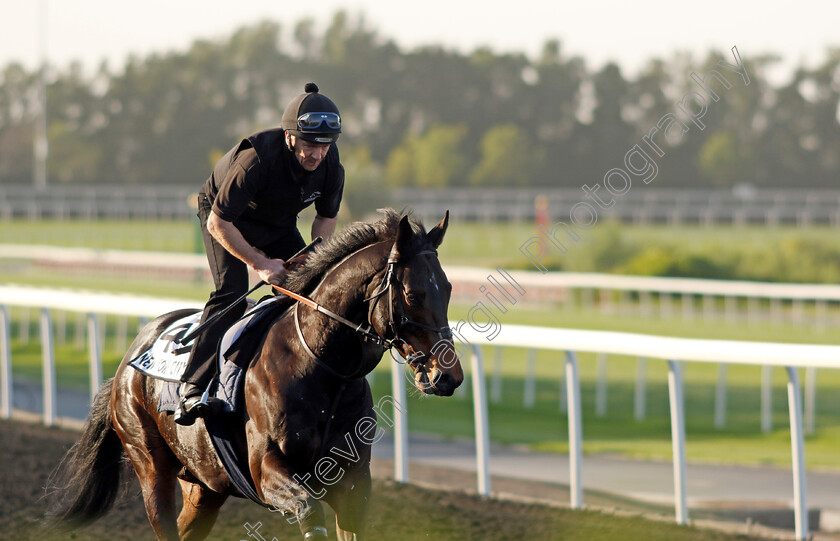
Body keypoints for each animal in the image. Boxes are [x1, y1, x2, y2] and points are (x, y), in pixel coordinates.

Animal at [49, 211, 462, 540]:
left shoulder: (353, 482)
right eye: (412, 294)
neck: (321, 369)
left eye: (448, 289)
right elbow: (309, 511)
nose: (449, 375)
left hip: (204, 485)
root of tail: (129, 360)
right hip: (149, 464)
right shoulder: (266, 470)